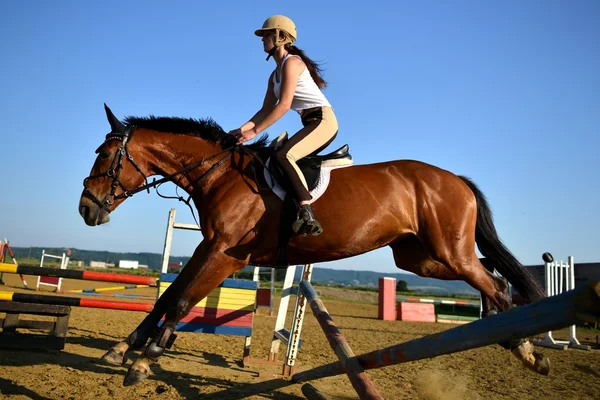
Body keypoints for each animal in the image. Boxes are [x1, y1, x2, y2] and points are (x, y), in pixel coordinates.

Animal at [78, 104, 548, 386]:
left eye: (105, 156)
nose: (87, 209)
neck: (220, 174)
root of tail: (456, 180)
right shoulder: (207, 248)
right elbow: (167, 295)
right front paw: (122, 349)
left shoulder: (226, 255)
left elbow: (180, 300)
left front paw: (145, 359)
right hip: (421, 259)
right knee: (492, 277)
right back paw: (515, 342)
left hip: (449, 251)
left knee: (494, 283)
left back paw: (528, 351)